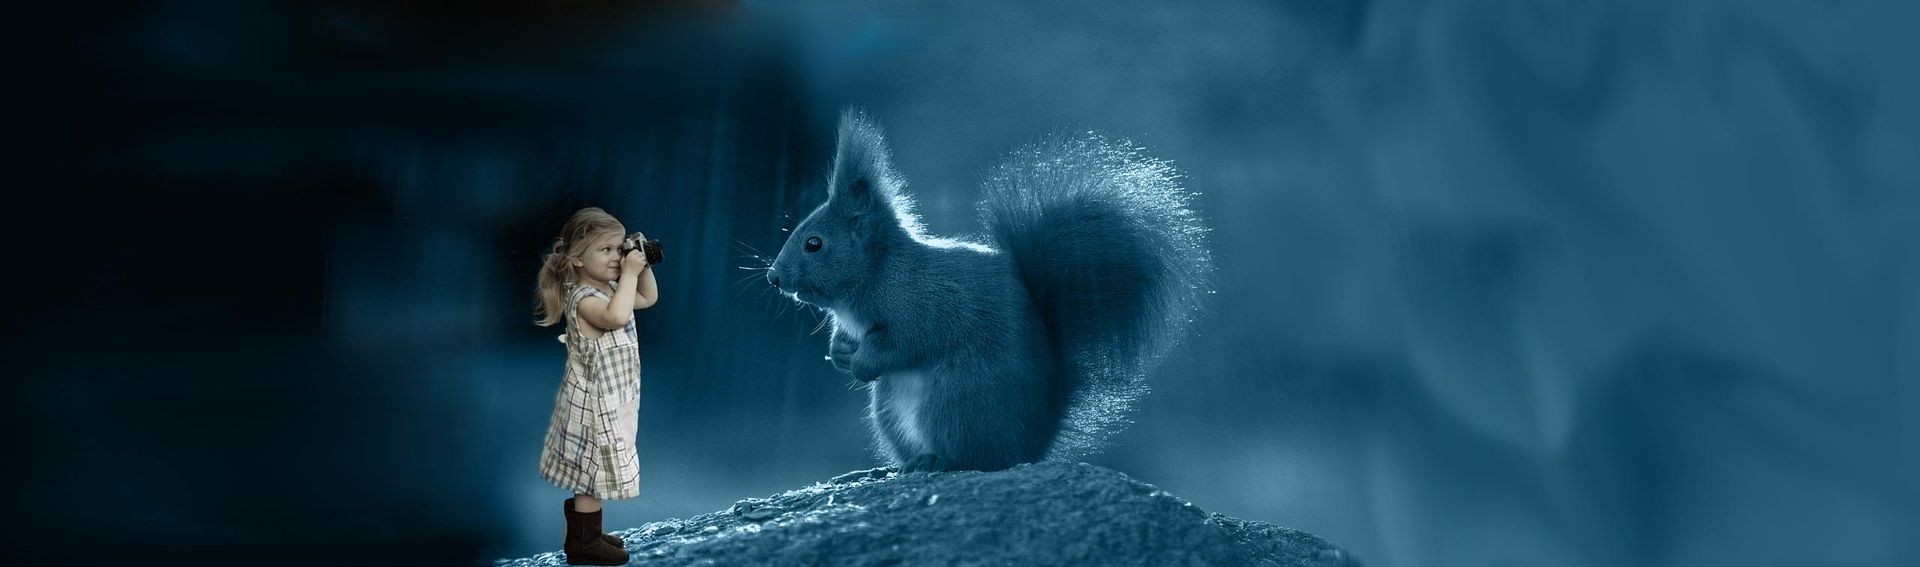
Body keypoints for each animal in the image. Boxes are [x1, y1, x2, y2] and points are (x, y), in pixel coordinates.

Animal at [766, 110, 1212, 472]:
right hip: (891, 411)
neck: (876, 276)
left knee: (977, 458)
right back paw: (903, 464)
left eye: (814, 244)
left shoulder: (922, 305)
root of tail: (1035, 443)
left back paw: (936, 461)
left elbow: (905, 343)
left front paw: (861, 364)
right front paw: (841, 353)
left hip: (956, 399)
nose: (773, 277)